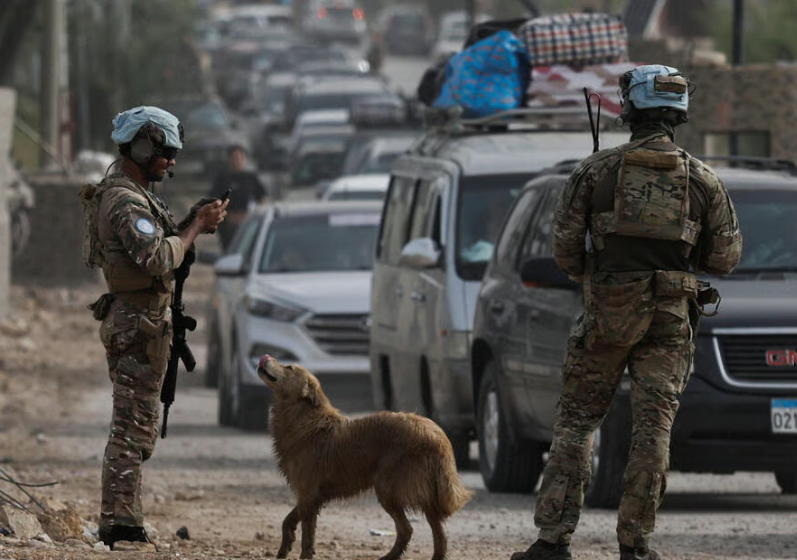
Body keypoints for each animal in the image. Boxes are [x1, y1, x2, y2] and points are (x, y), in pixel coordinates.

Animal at [257, 354, 473, 560]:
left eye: (289, 367)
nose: (266, 358)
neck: (304, 419)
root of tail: (437, 436)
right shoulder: (311, 496)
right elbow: (288, 520)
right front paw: (285, 547)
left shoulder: (308, 494)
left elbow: (307, 536)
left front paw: (302, 554)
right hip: (425, 491)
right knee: (438, 534)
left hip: (388, 488)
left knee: (407, 529)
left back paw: (388, 556)